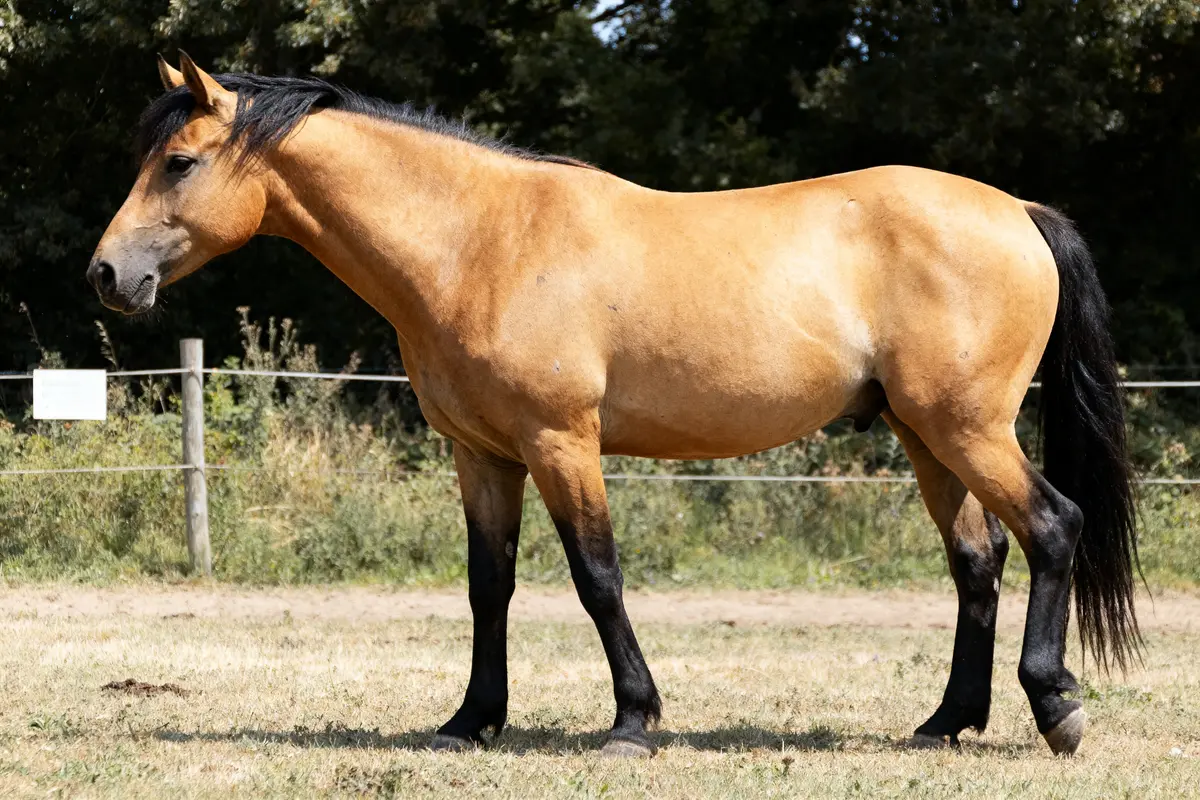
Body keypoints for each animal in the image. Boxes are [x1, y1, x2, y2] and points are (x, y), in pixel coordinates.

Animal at [89, 54, 1140, 758]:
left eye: (179, 162)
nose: (108, 275)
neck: (479, 240)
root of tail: (1019, 212)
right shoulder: (482, 455)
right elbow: (489, 586)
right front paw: (470, 721)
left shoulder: (562, 442)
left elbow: (598, 578)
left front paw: (633, 721)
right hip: (927, 435)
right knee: (978, 561)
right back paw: (945, 723)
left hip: (968, 428)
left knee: (1053, 526)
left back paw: (1057, 708)